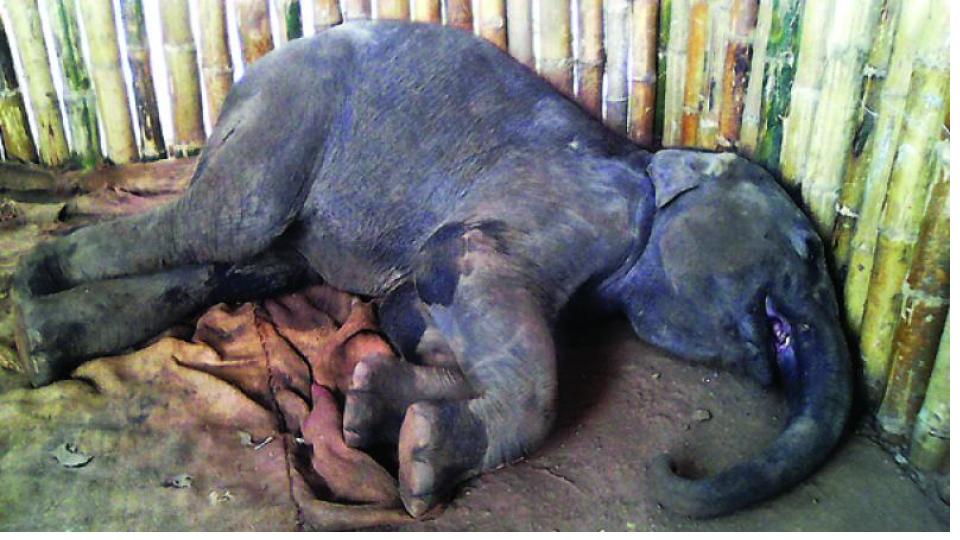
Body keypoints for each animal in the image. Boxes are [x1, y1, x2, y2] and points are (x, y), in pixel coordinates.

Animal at [11, 21, 851, 519]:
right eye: (809, 251)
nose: (673, 463)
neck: (646, 159)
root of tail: (251, 73)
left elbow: (417, 313)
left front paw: (369, 403)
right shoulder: (564, 202)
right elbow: (469, 270)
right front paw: (419, 463)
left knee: (235, 263)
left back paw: (43, 340)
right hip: (292, 108)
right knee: (223, 221)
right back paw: (29, 287)